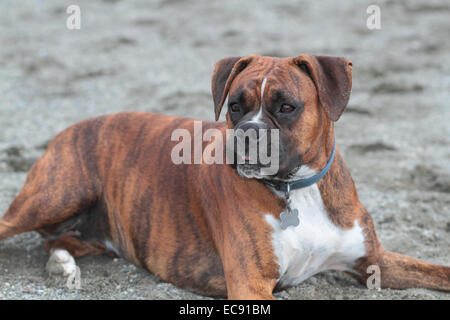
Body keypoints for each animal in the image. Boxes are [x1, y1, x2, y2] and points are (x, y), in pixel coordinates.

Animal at [0, 53, 450, 298]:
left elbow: (438, 271)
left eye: (286, 107)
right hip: (56, 195)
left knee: (58, 242)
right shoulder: (252, 284)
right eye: (235, 106)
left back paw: (64, 265)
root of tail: (70, 129)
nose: (248, 133)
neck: (298, 188)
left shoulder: (374, 262)